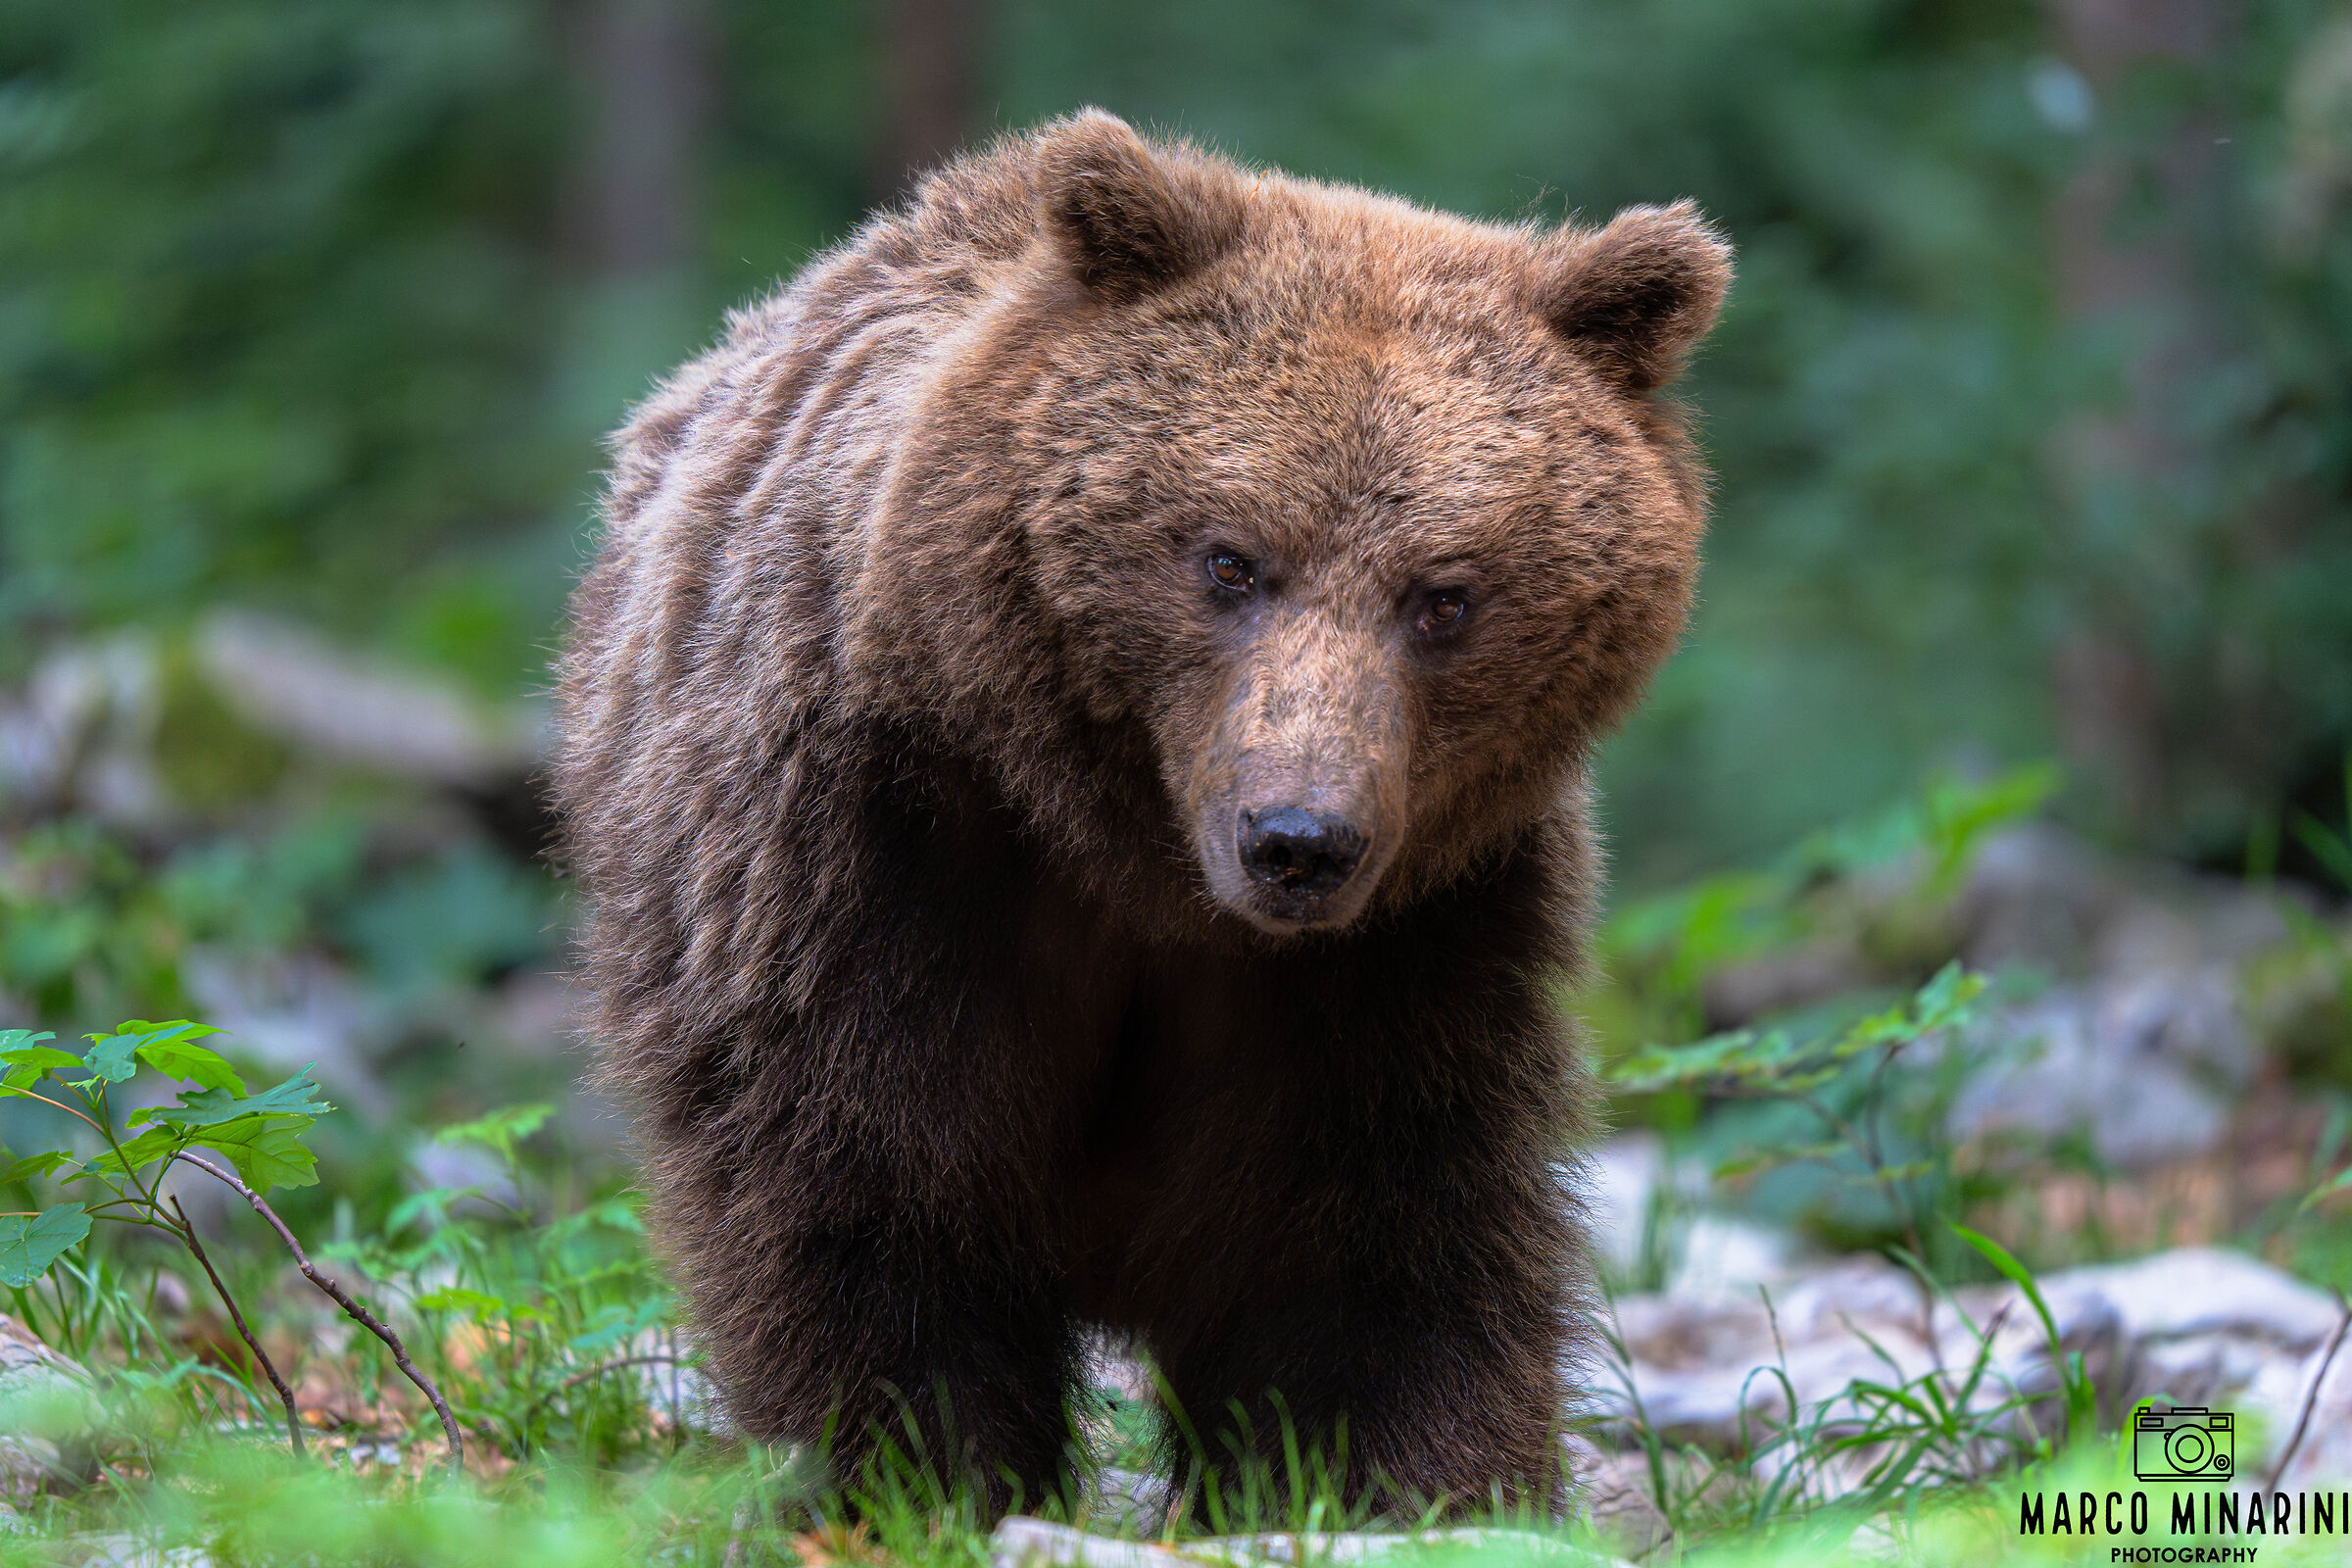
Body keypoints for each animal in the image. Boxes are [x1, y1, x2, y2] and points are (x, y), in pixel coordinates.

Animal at [553, 109, 1730, 1519]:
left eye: (1444, 594)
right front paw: (921, 1474)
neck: (1137, 863)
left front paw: (1404, 1478)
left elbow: (1378, 1217)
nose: (1297, 842)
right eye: (1228, 558)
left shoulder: (1413, 944)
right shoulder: (875, 852)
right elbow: (863, 1177)